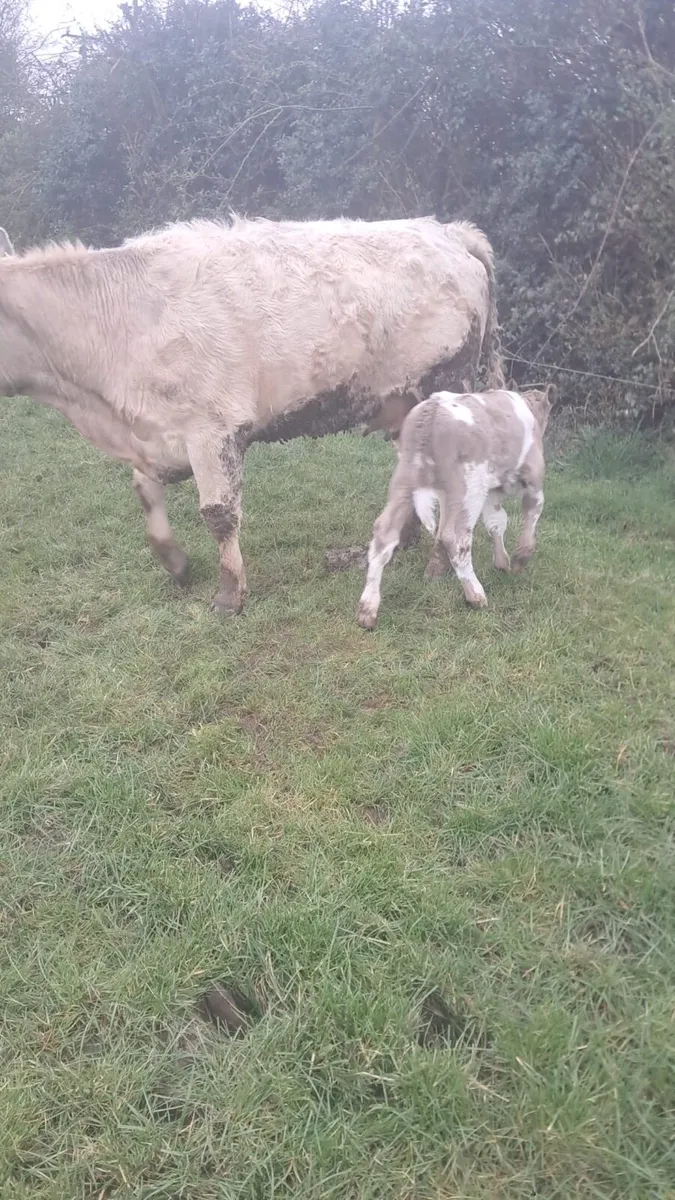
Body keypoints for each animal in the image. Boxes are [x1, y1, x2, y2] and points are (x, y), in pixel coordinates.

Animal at [0, 215, 504, 615]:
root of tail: (447, 230)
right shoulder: (152, 432)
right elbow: (146, 494)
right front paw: (175, 563)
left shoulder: (211, 428)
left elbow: (219, 514)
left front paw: (229, 596)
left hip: (447, 385)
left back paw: (437, 563)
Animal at [357, 385, 555, 630]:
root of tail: (432, 408)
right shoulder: (534, 480)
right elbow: (530, 515)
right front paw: (519, 560)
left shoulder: (489, 493)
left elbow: (496, 522)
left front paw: (501, 562)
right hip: (468, 486)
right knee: (455, 536)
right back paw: (476, 595)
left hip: (406, 480)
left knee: (385, 534)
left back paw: (367, 611)